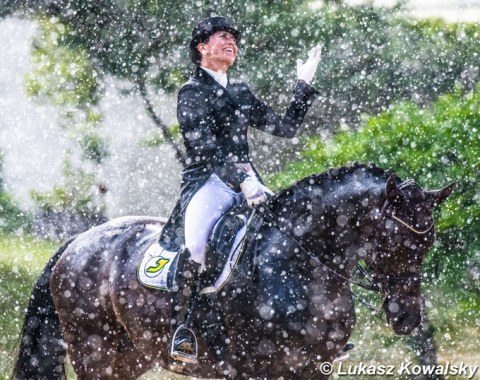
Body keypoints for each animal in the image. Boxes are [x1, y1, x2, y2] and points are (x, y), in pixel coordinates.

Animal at [11, 164, 454, 380]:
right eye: (394, 241)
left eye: (428, 243)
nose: (406, 318)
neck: (299, 266)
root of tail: (77, 241)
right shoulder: (259, 368)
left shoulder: (314, 368)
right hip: (94, 353)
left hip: (130, 356)